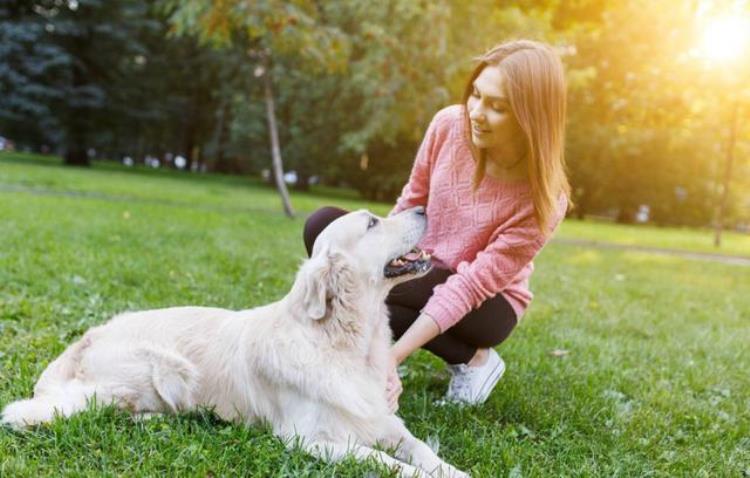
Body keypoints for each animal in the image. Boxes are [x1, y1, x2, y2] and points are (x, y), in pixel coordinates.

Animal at [1, 207, 470, 476]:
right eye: (373, 222)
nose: (423, 207)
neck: (343, 340)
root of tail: (85, 339)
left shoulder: (382, 420)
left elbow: (422, 451)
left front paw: (454, 471)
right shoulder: (310, 440)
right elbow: (386, 462)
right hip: (164, 368)